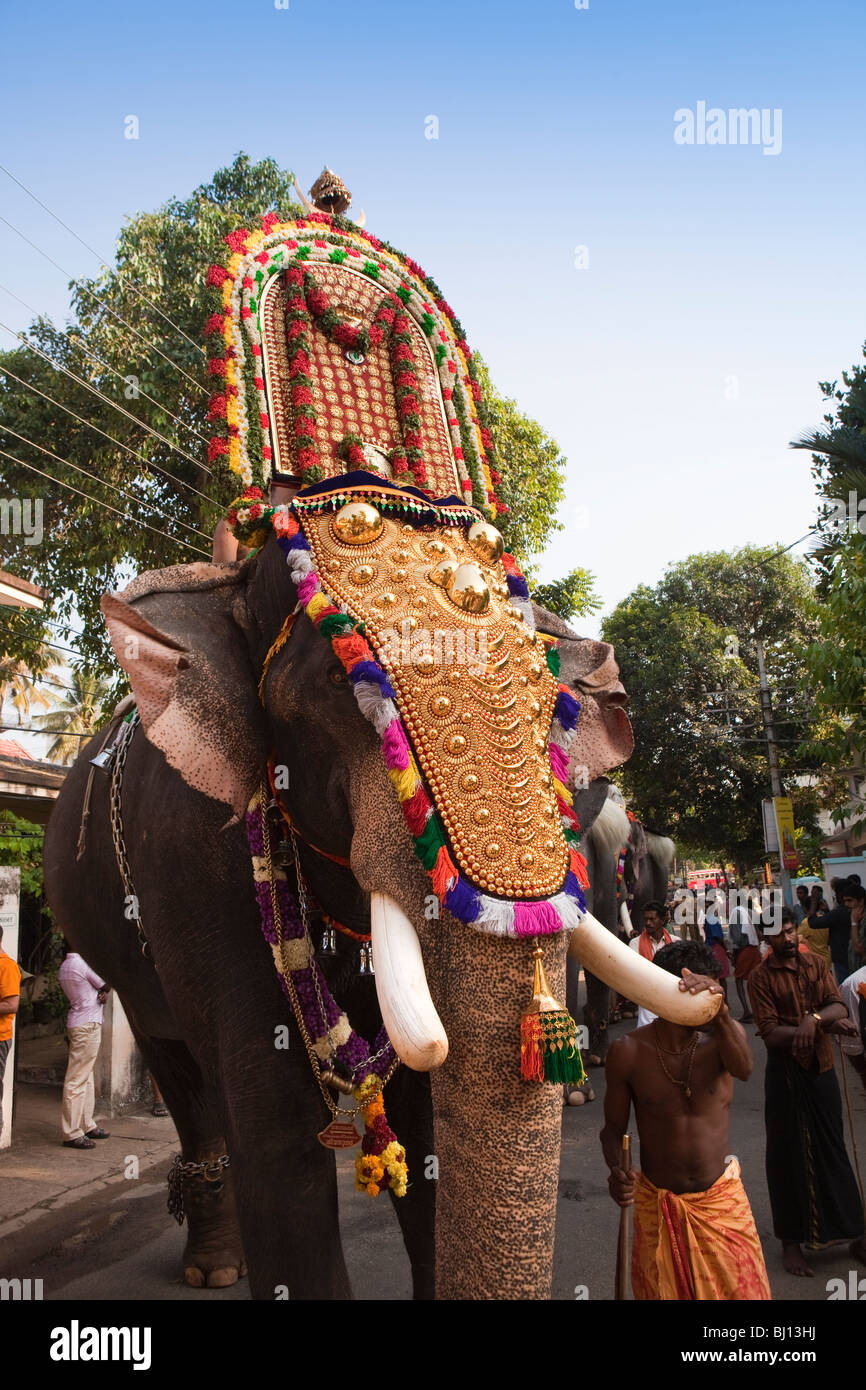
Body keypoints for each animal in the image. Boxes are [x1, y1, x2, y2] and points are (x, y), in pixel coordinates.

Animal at [42, 201, 717, 1295]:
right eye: (335, 691)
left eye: (551, 706)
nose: (701, 981)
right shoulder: (193, 855)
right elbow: (276, 1133)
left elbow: (425, 1127)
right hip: (107, 940)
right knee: (183, 1075)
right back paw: (213, 1266)